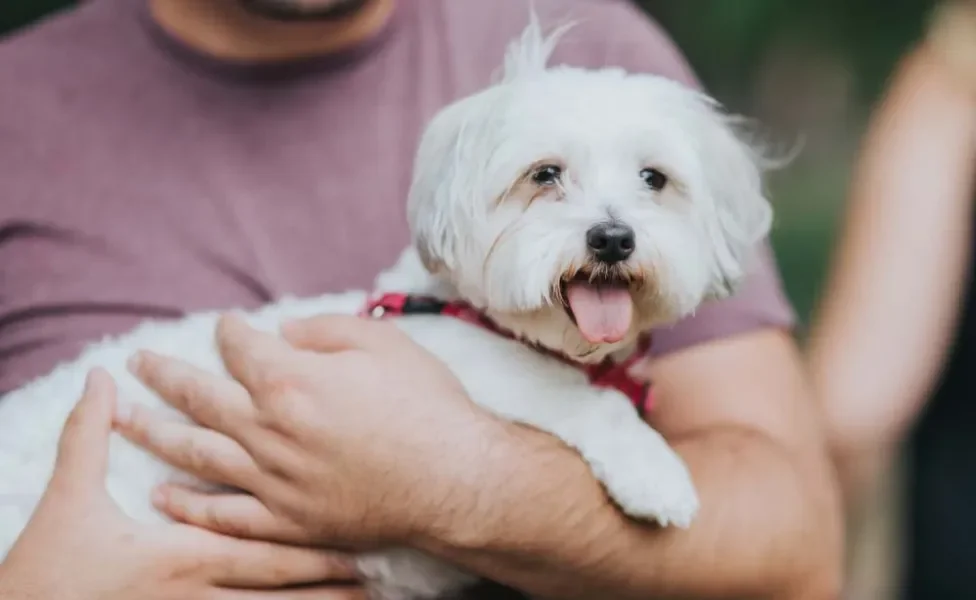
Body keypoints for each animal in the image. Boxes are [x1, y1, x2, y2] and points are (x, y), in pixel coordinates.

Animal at [0, 16, 772, 600]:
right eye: (544, 174)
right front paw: (654, 472)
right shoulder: (463, 361)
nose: (612, 237)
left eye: (654, 179)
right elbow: (574, 394)